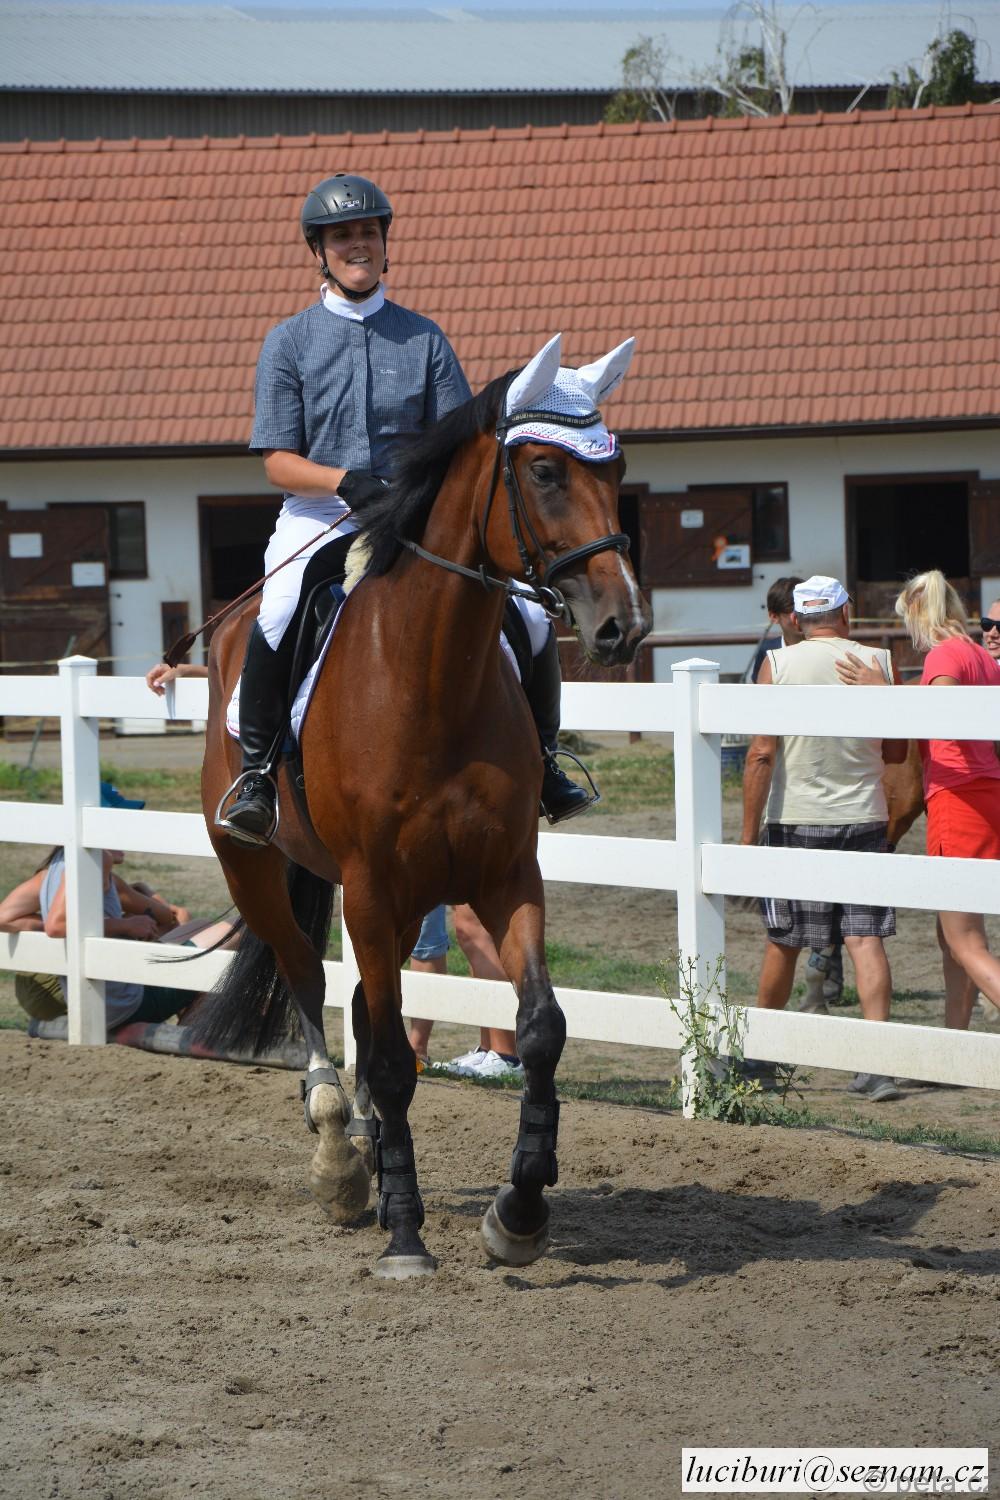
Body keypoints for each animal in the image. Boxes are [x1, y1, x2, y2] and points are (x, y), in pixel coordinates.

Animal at [192, 334, 652, 1278]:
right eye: (544, 470)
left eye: (617, 467)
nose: (622, 624)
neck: (429, 676)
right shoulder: (369, 888)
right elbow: (396, 1061)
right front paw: (405, 1232)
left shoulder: (505, 876)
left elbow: (539, 1029)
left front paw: (520, 1213)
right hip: (259, 867)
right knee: (309, 982)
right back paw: (339, 1156)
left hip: (403, 908)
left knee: (372, 1018)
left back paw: (371, 1157)